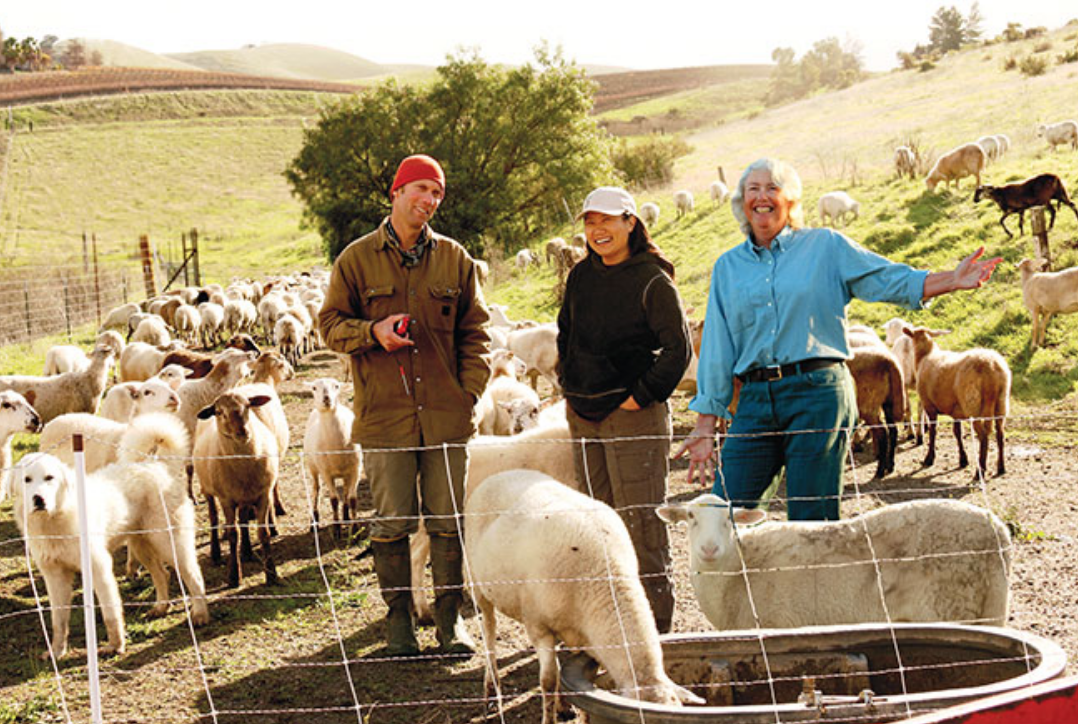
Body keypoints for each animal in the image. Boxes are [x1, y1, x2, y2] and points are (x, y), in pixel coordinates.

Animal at [193, 390, 280, 587]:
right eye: (219, 412)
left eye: (248, 405)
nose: (243, 432)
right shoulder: (227, 499)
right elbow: (233, 533)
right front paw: (234, 576)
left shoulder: (263, 495)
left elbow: (264, 533)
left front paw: (271, 574)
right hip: (208, 489)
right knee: (213, 516)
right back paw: (216, 553)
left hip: (245, 496)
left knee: (244, 519)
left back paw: (246, 551)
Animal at [303, 378, 362, 539]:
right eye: (314, 388)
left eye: (337, 386)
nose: (326, 398)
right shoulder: (326, 473)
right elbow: (333, 500)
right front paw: (336, 529)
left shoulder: (356, 470)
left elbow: (353, 499)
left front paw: (355, 529)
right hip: (313, 467)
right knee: (316, 489)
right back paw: (314, 520)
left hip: (346, 473)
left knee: (346, 491)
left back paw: (346, 516)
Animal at [466, 470, 702, 723]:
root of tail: (501, 474)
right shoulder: (538, 627)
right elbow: (548, 681)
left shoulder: (582, 633)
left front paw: (569, 707)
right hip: (477, 583)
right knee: (489, 630)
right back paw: (491, 690)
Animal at [657, 494, 1012, 630]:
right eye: (690, 517)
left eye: (729, 520)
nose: (709, 548)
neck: (737, 571)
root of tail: (999, 532)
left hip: (951, 607)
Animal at [903, 326, 1010, 479]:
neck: (925, 356)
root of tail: (991, 369)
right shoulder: (956, 411)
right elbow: (957, 433)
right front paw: (963, 460)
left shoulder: (929, 405)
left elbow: (933, 431)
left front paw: (929, 458)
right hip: (1001, 403)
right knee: (1000, 434)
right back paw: (1001, 468)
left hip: (972, 404)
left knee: (983, 436)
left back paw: (980, 471)